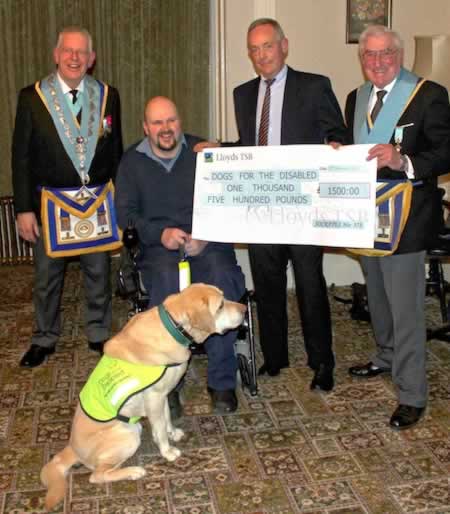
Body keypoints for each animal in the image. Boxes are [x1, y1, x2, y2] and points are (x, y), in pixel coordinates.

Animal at [40, 282, 246, 510]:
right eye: (220, 305)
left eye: (224, 297)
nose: (245, 309)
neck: (173, 328)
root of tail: (71, 448)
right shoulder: (154, 397)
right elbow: (160, 429)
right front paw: (168, 451)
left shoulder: (163, 395)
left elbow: (166, 419)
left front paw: (172, 433)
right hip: (128, 434)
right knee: (97, 475)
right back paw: (133, 472)